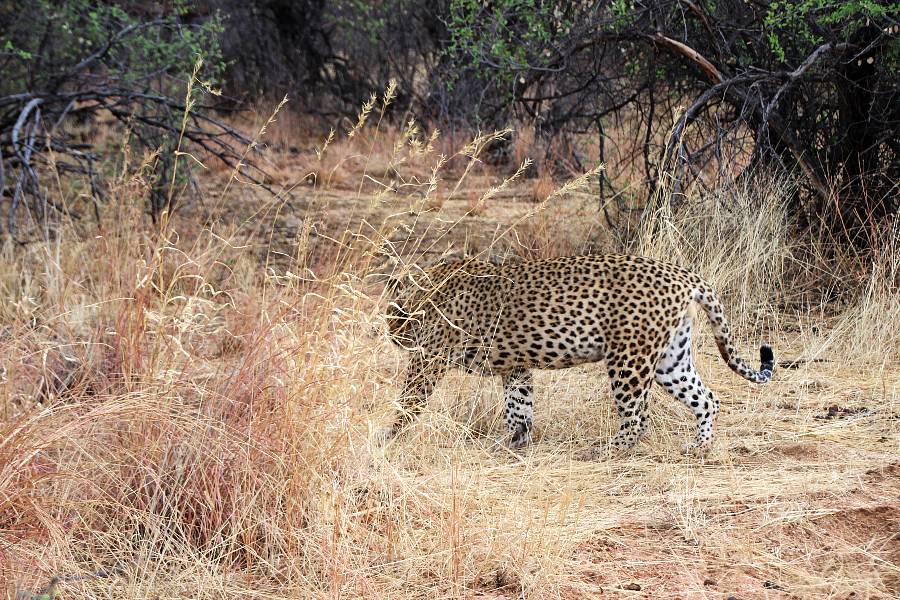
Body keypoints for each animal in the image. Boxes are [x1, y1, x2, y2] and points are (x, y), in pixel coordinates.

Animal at [380, 254, 774, 456]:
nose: (396, 338)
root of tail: (685, 275)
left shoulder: (429, 361)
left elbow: (408, 401)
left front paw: (385, 435)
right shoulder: (517, 367)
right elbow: (519, 407)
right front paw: (515, 444)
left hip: (629, 358)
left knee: (638, 418)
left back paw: (606, 450)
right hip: (670, 360)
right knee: (707, 398)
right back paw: (700, 447)